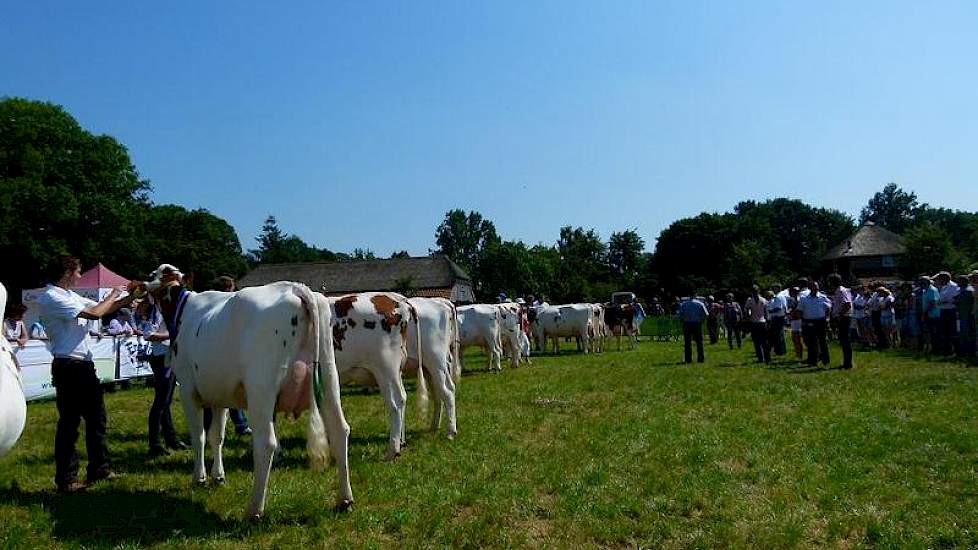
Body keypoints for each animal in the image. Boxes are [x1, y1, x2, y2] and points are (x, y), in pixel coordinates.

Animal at [147, 268, 352, 520]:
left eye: (156, 275)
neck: (184, 311)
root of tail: (295, 288)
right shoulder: (219, 396)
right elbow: (217, 436)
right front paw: (218, 476)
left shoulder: (187, 390)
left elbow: (199, 436)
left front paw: (200, 477)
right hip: (329, 380)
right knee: (340, 431)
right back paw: (344, 500)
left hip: (261, 390)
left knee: (266, 444)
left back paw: (254, 510)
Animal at [408, 298, 462, 440]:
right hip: (432, 368)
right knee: (438, 394)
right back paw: (434, 426)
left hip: (436, 362)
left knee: (447, 391)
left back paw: (451, 432)